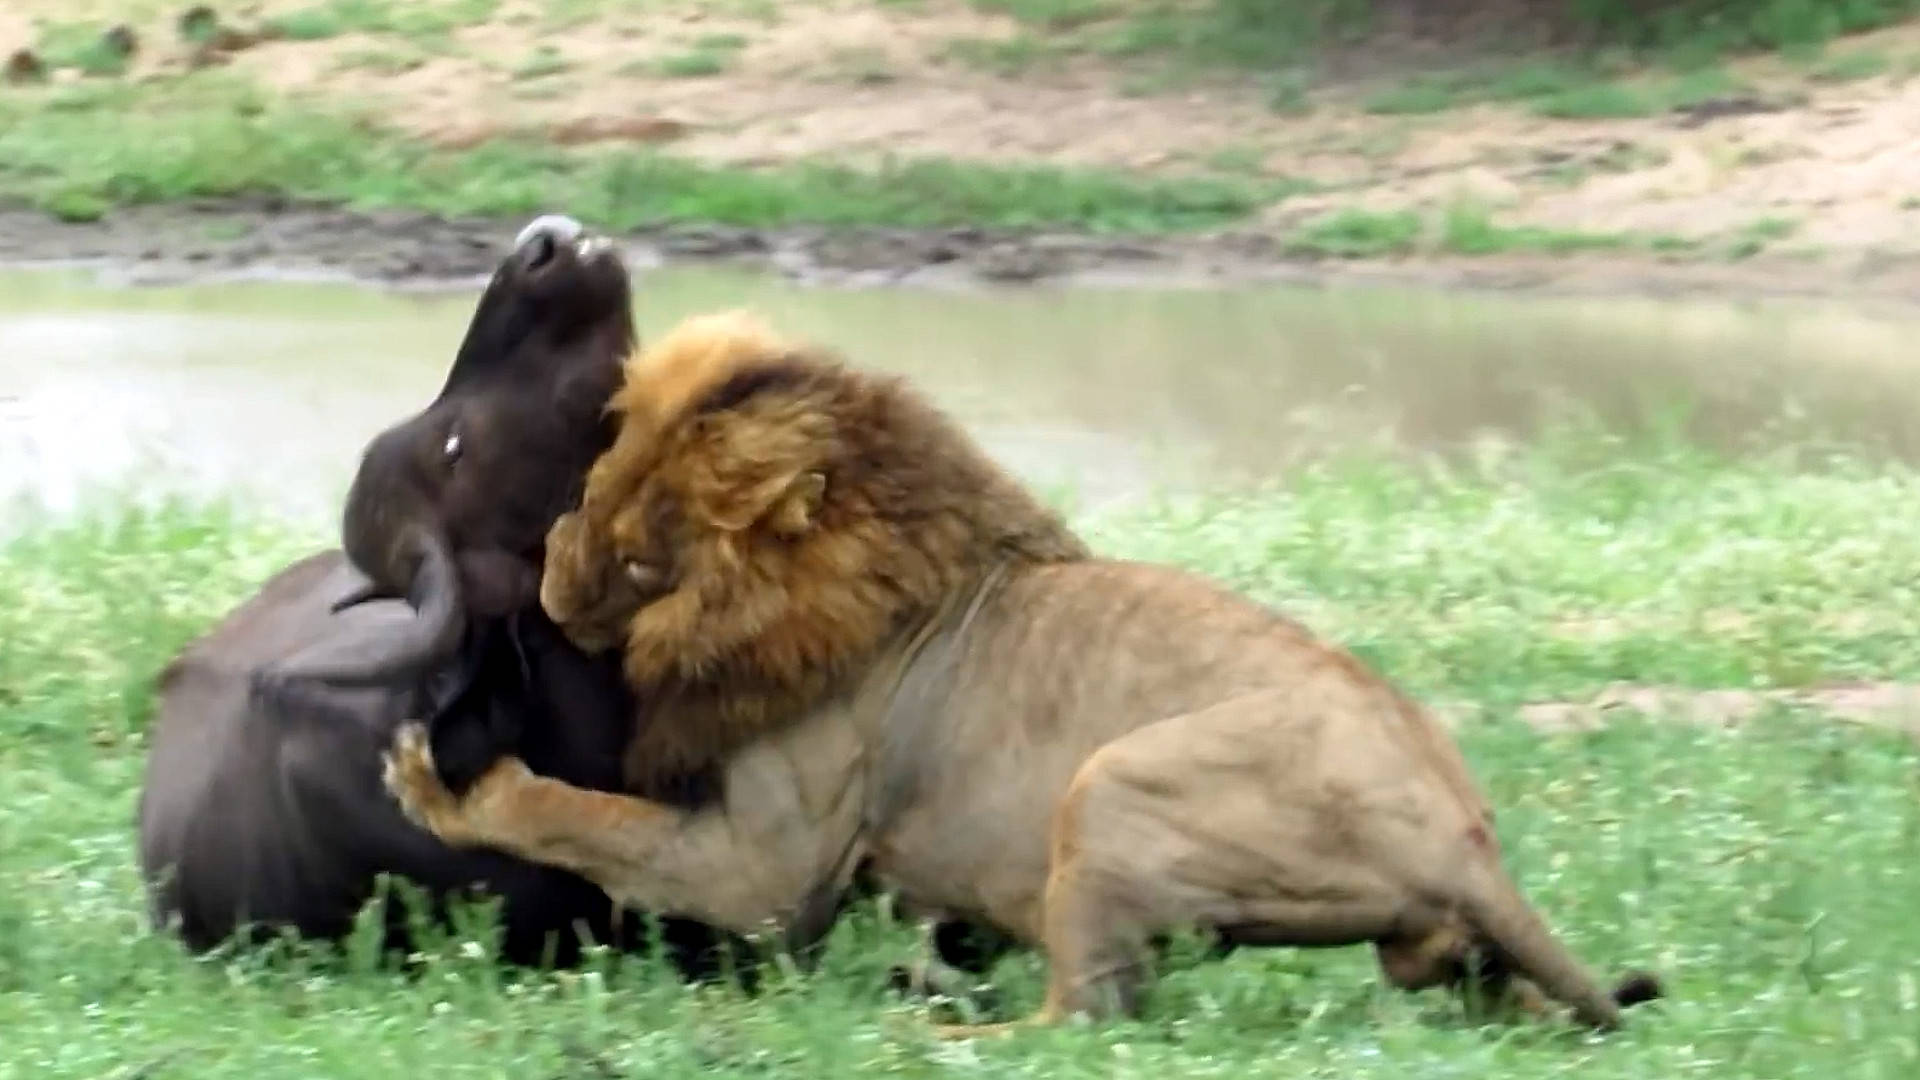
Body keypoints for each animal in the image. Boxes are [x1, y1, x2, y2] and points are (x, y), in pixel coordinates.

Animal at [378, 311, 1666, 1037]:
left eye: (641, 549)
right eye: (595, 483)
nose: (551, 568)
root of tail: (1468, 840)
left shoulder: (768, 868)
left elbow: (573, 813)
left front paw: (443, 785)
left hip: (1112, 786)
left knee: (1082, 1027)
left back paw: (933, 1035)